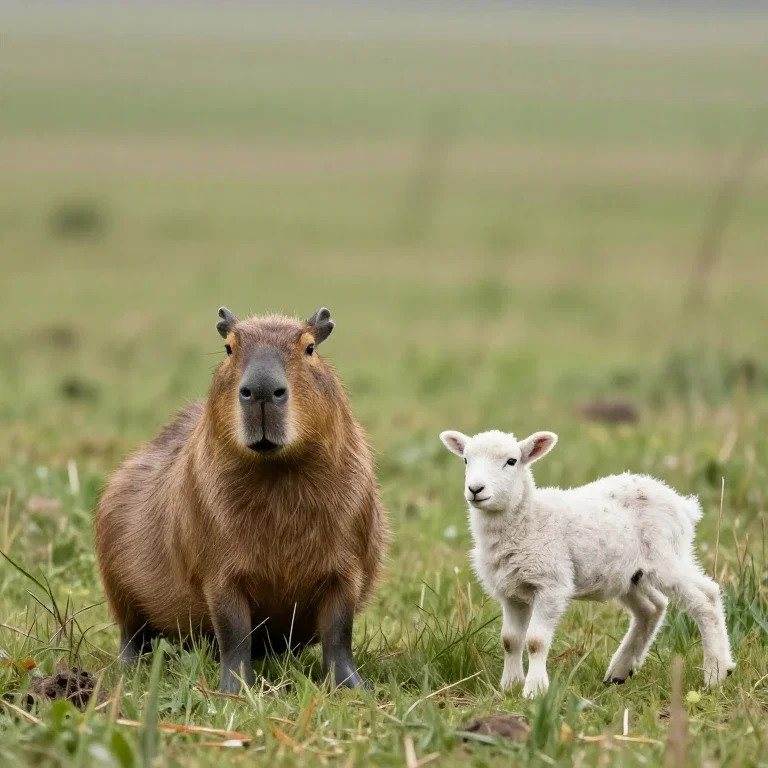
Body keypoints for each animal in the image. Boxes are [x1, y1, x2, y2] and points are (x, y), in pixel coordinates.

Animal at [439, 428, 734, 698]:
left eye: (511, 461)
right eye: (465, 460)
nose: (475, 489)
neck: (529, 519)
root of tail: (682, 503)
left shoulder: (551, 584)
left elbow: (535, 641)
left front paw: (534, 690)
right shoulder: (511, 591)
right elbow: (510, 640)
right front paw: (509, 686)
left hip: (666, 557)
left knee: (706, 597)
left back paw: (716, 673)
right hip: (629, 574)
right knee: (652, 607)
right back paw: (620, 671)